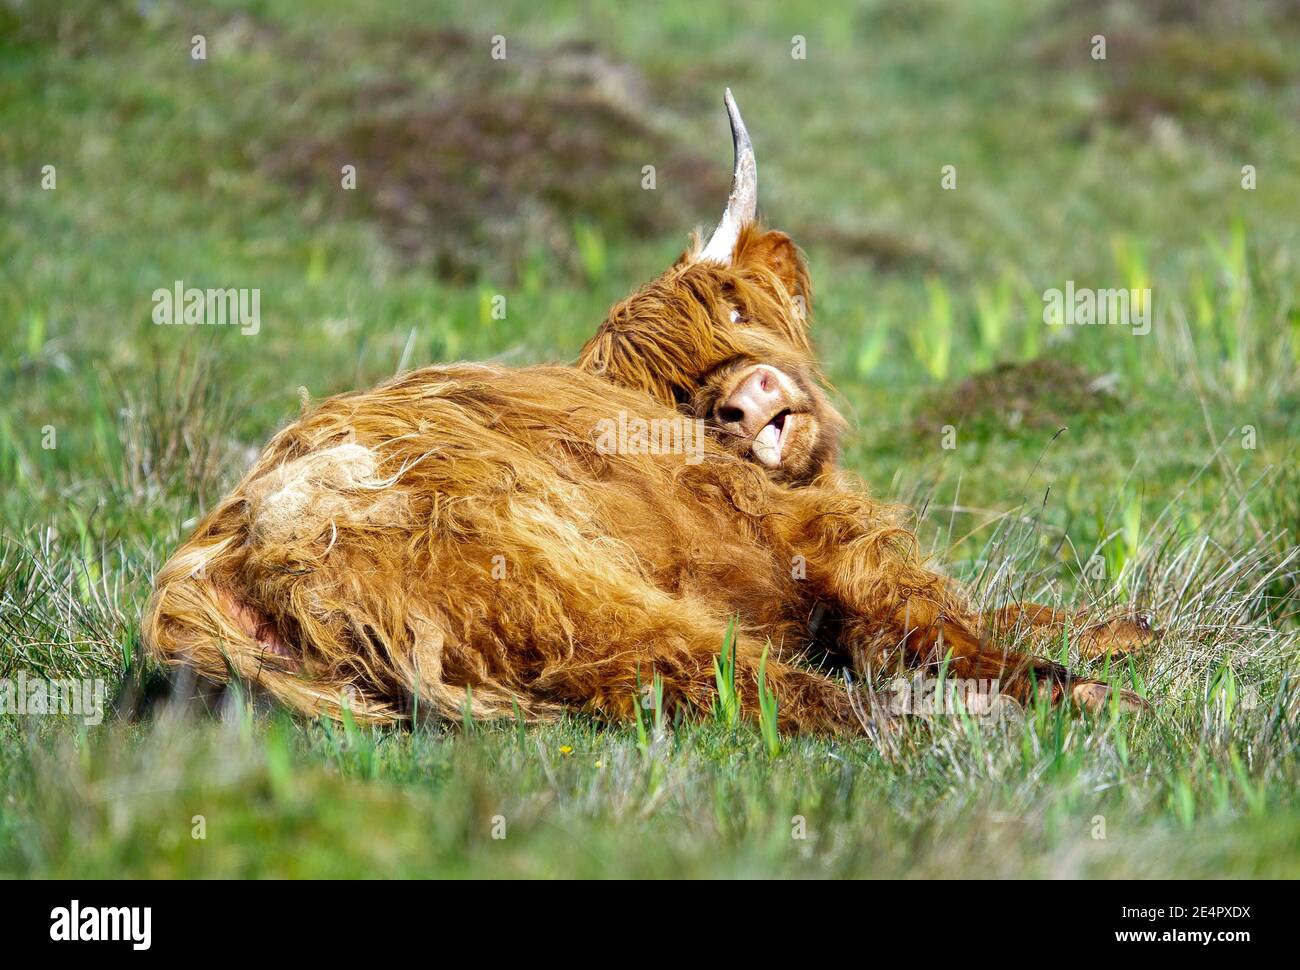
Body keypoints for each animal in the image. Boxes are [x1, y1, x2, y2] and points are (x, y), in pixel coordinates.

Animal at [142, 91, 1149, 728]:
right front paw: (1083, 668)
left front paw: (1129, 629)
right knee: (768, 688)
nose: (749, 402)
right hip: (564, 581)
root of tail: (225, 554)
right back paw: (1045, 706)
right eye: (684, 395)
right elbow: (943, 623)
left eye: (736, 311)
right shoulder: (836, 556)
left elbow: (1014, 608)